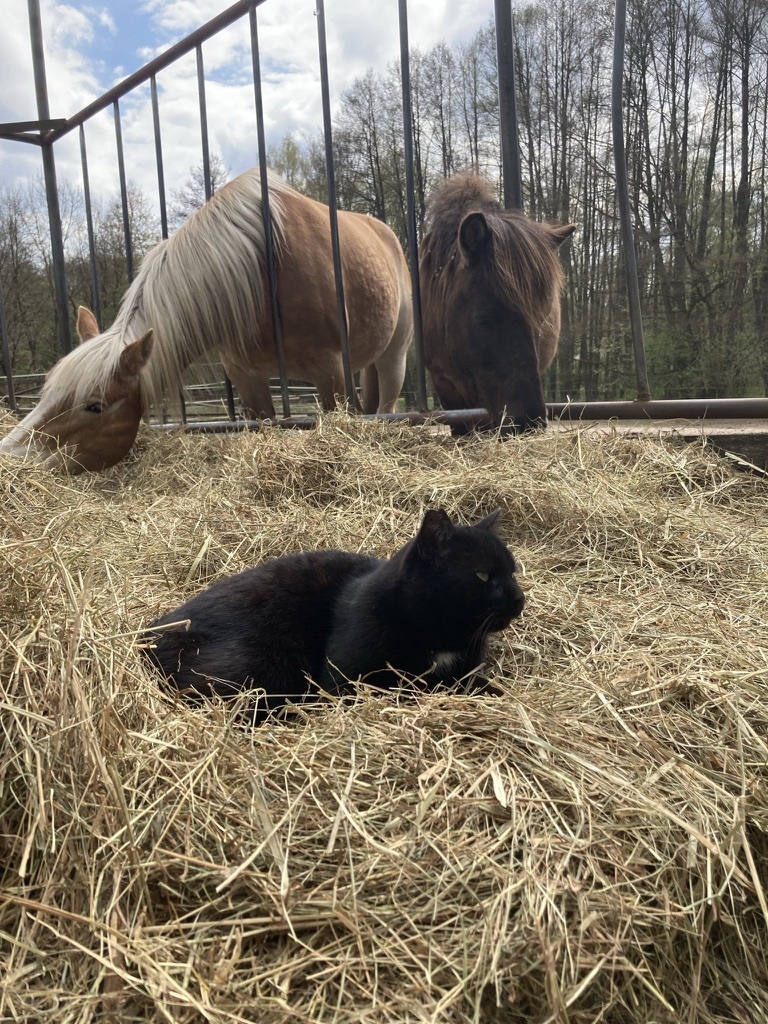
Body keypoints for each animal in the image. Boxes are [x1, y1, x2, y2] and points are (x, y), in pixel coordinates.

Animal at [0, 169, 413, 473]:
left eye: (95, 406)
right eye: (46, 391)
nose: (10, 457)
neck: (264, 273)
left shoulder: (331, 374)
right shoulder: (247, 377)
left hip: (394, 356)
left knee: (388, 403)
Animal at [144, 508, 525, 723]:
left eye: (512, 571)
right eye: (482, 576)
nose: (520, 599)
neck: (440, 634)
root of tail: (147, 637)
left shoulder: (466, 673)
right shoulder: (344, 681)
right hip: (262, 663)